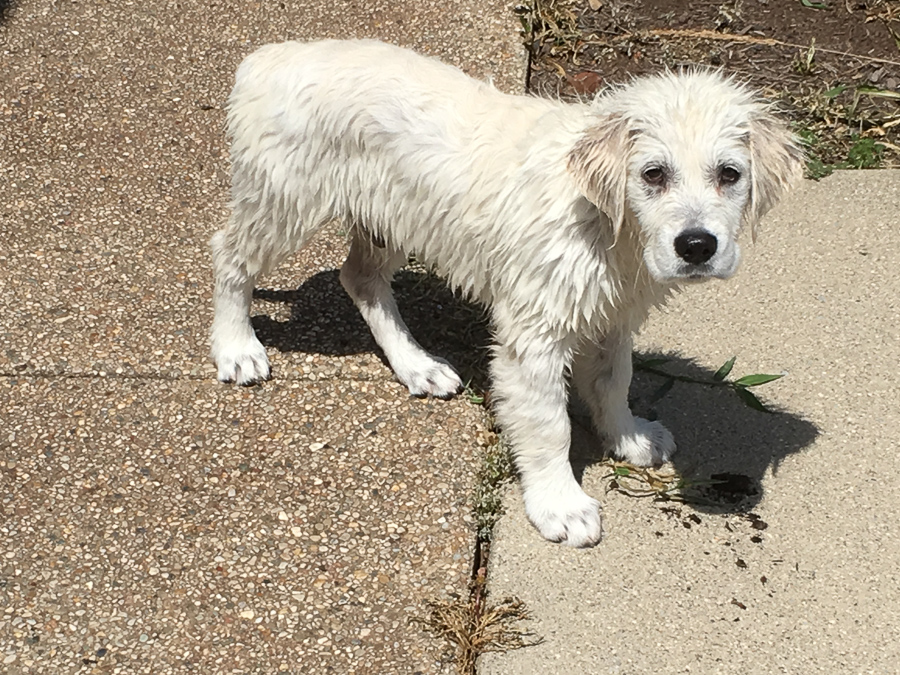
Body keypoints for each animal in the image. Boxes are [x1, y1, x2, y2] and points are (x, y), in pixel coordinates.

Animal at [210, 39, 803, 547]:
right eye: (653, 174)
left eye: (730, 174)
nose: (697, 246)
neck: (609, 226)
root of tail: (269, 57)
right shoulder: (532, 336)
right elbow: (549, 426)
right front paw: (560, 505)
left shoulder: (611, 316)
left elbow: (613, 381)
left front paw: (628, 436)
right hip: (285, 199)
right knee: (229, 256)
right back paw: (236, 348)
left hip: (390, 218)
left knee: (360, 278)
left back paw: (417, 365)